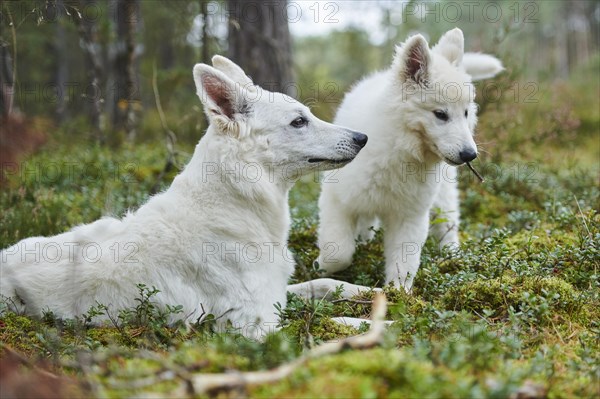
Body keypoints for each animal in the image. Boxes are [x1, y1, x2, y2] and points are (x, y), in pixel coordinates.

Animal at [1, 55, 370, 338]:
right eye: (298, 122)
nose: (363, 137)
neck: (235, 205)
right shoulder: (252, 325)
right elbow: (333, 322)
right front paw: (376, 324)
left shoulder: (277, 294)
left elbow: (321, 283)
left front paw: (374, 293)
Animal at [316, 28, 504, 290]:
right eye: (440, 114)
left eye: (466, 113)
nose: (470, 154)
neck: (401, 150)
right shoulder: (338, 198)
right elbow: (339, 251)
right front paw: (322, 267)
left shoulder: (410, 215)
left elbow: (404, 262)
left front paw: (397, 293)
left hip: (443, 194)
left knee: (448, 223)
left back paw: (452, 254)